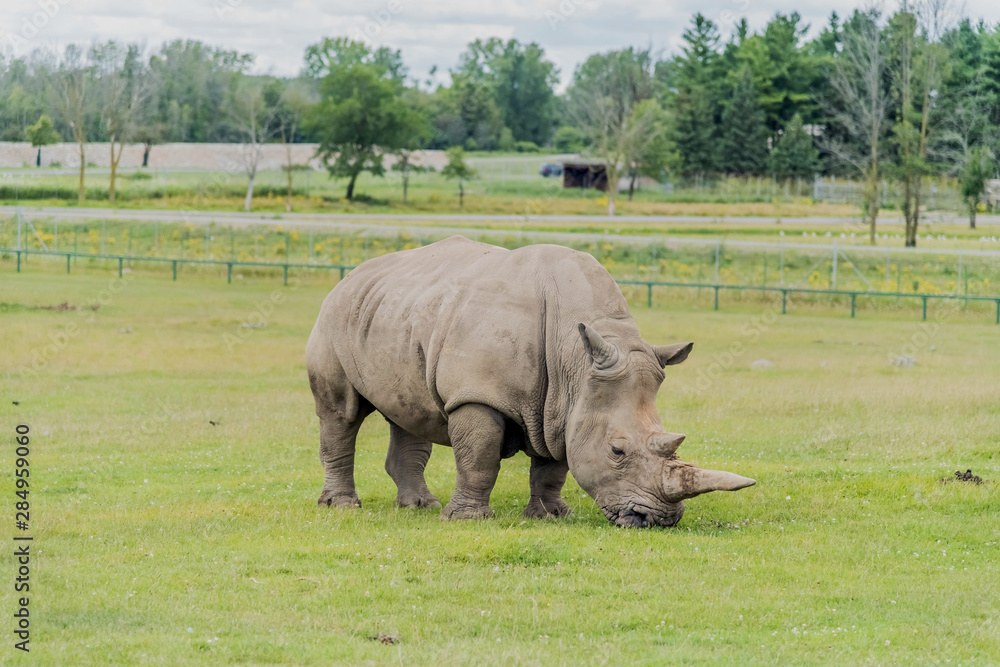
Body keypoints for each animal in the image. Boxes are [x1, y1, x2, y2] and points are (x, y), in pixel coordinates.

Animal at [306, 236, 754, 527]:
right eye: (617, 451)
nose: (659, 520)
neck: (575, 360)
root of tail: (352, 274)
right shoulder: (478, 394)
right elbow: (479, 458)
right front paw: (467, 520)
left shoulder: (562, 404)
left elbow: (554, 466)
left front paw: (552, 515)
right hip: (333, 315)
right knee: (341, 412)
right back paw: (342, 507)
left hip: (396, 312)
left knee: (409, 412)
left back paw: (420, 506)